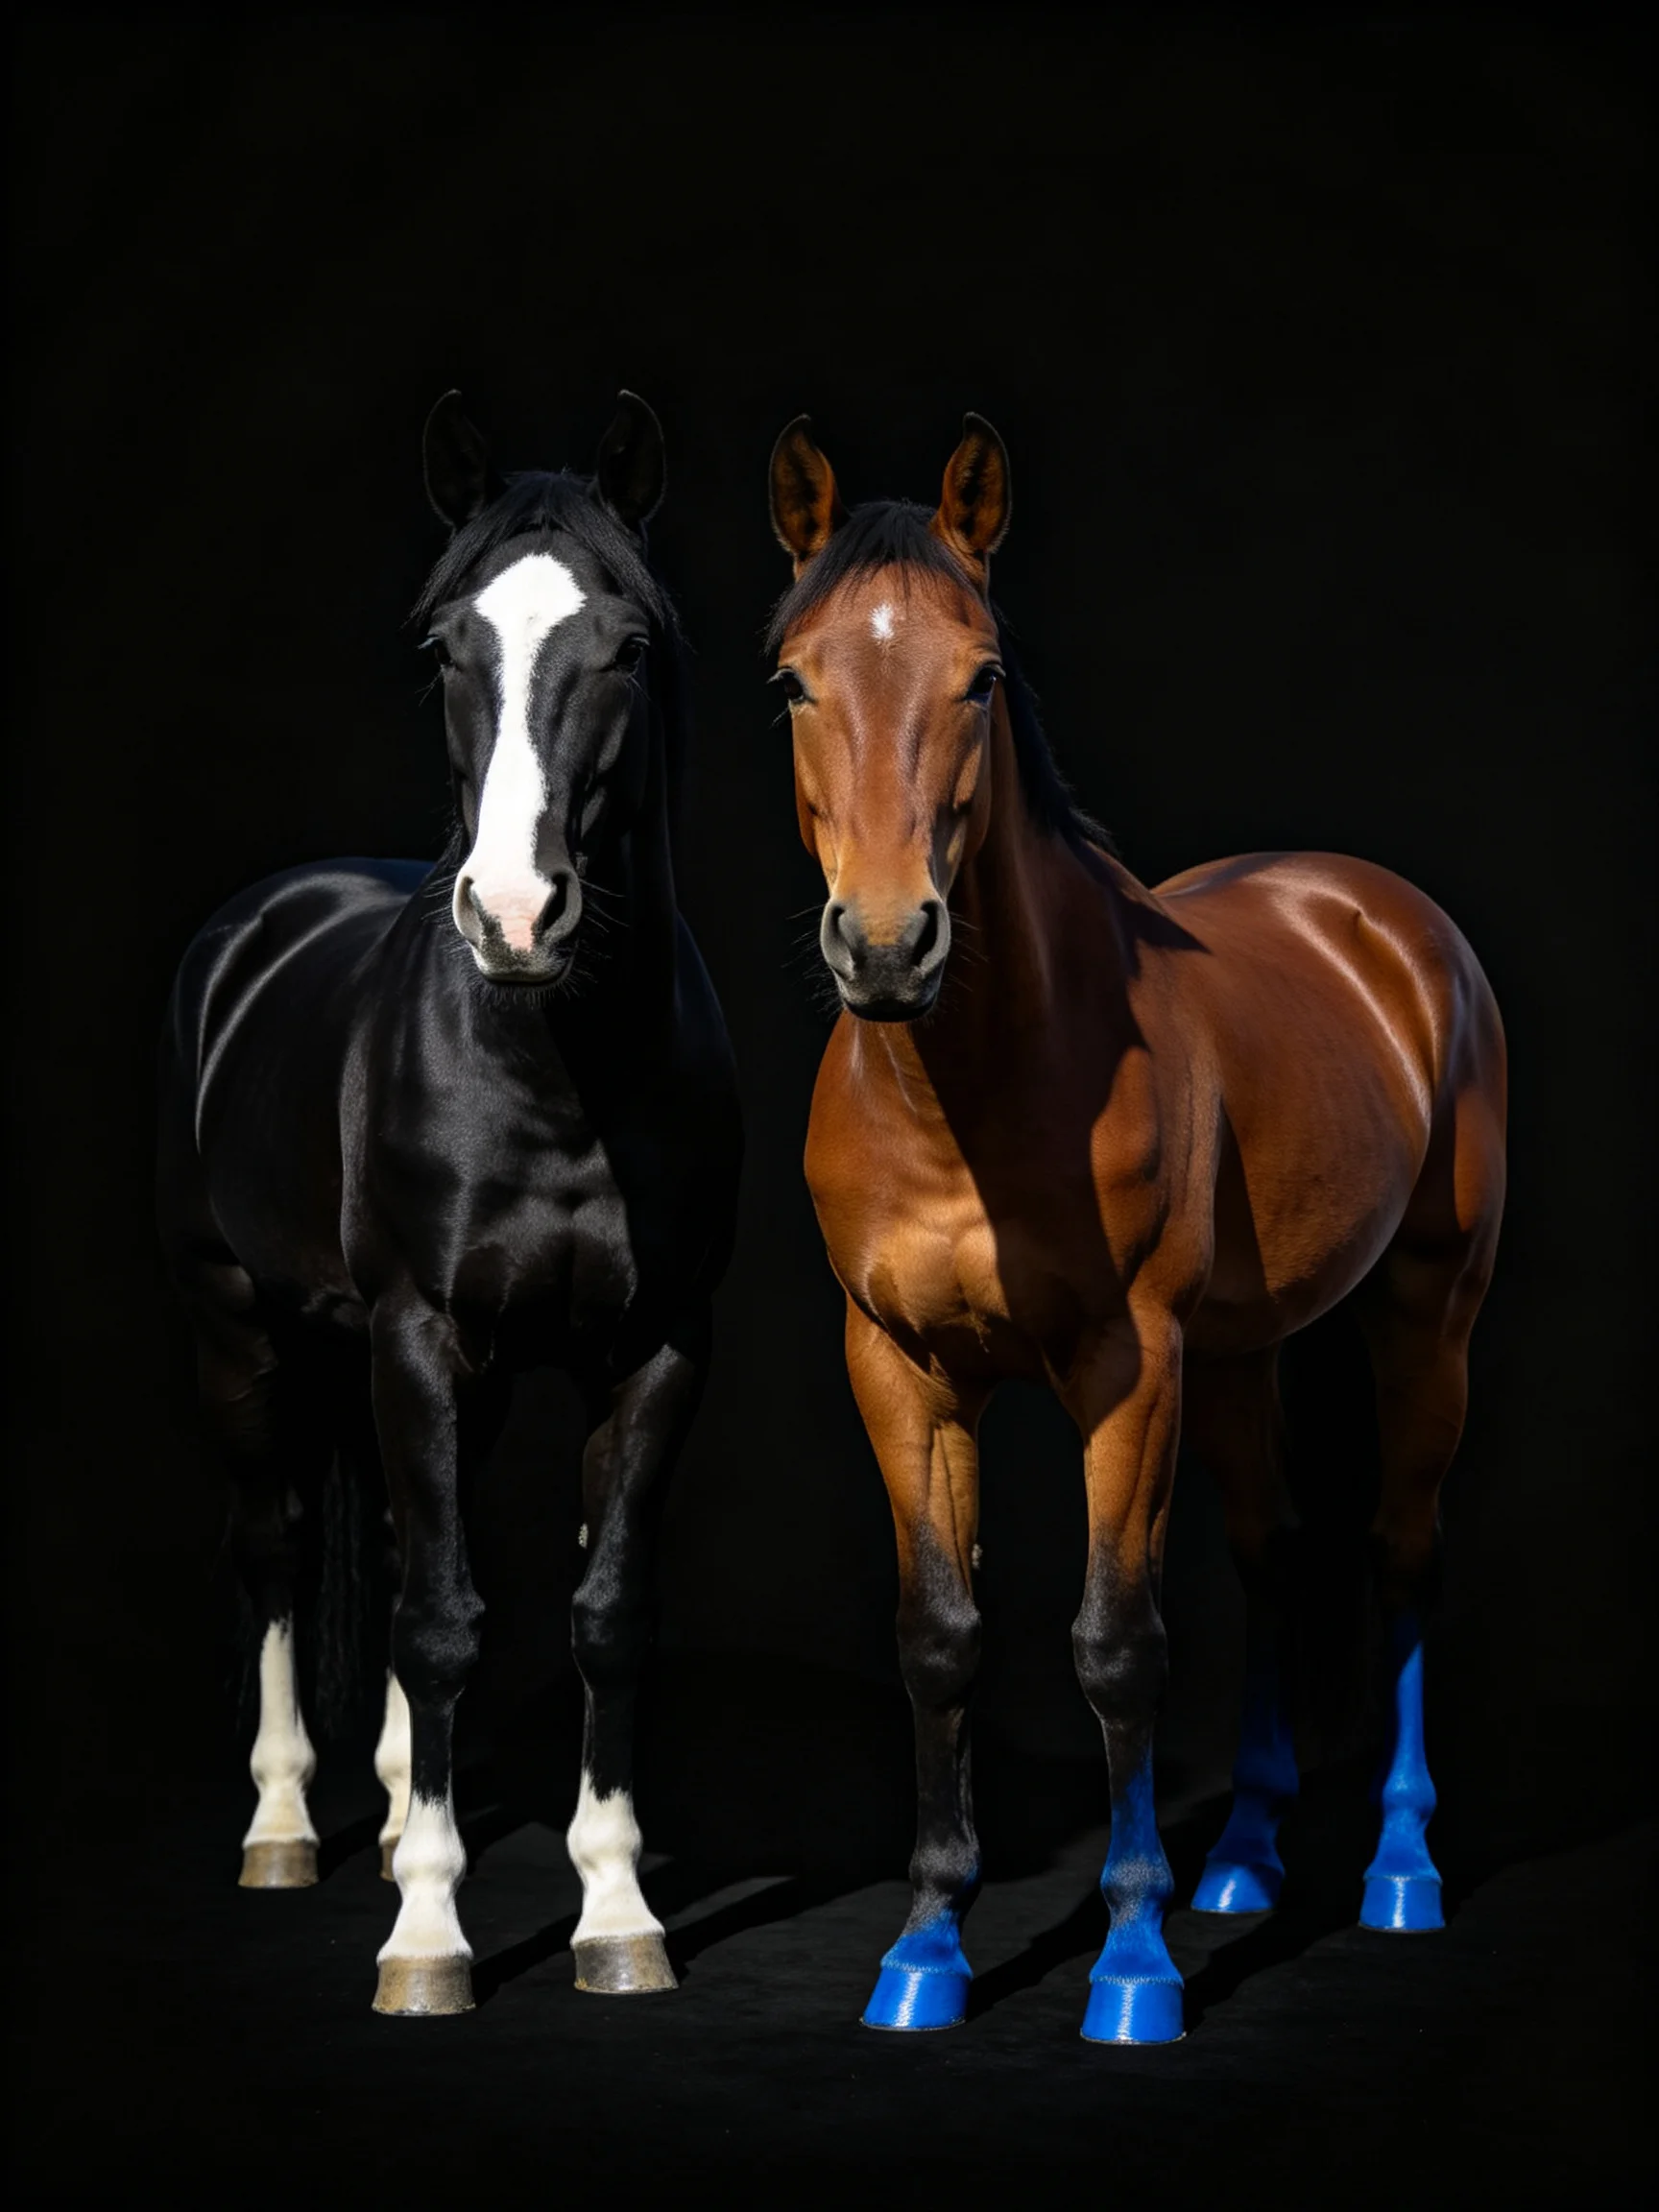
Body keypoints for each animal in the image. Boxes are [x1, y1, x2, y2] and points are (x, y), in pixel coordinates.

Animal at [156, 390, 740, 2016]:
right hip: (244, 1329)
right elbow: (433, 1618)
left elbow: (601, 1615)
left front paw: (616, 1916)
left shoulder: (657, 1350)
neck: (551, 1072)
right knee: (280, 1552)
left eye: (627, 648)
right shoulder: (414, 1334)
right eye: (443, 650)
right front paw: (427, 1937)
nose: (518, 914)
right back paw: (286, 1828)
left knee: (415, 1546)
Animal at [765, 412, 1506, 2044]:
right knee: (1273, 1549)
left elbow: (1117, 1644)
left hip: (1423, 1320)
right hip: (1235, 1359)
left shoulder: (1126, 1372)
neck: (971, 1094)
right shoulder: (899, 1372)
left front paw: (1131, 1960)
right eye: (792, 679)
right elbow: (940, 1641)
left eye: (981, 677)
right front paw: (928, 1945)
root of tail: (1379, 915)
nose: (888, 944)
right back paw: (1240, 1860)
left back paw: (1398, 1870)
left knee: (1401, 1554)